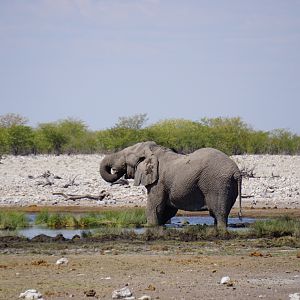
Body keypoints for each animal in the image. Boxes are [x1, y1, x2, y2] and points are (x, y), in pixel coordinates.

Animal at [99, 142, 243, 229]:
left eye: (125, 157)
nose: (116, 170)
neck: (154, 151)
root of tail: (236, 171)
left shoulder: (158, 182)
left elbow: (154, 207)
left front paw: (151, 226)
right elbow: (167, 209)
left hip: (218, 184)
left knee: (219, 213)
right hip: (228, 185)